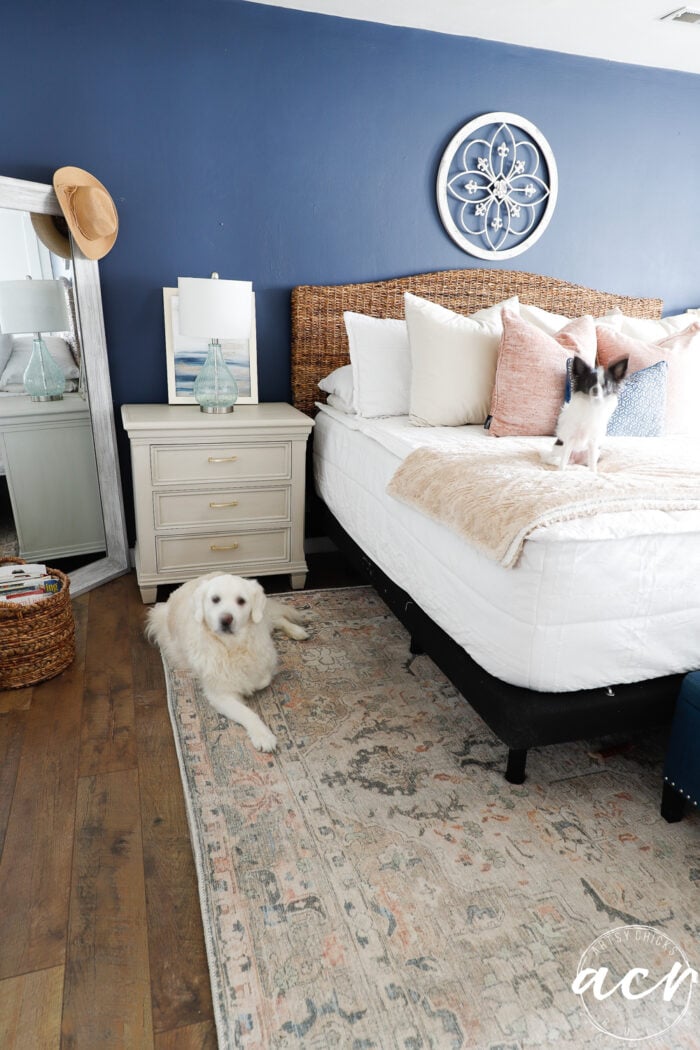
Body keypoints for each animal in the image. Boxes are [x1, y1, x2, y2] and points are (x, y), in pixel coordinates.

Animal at [146, 575, 308, 755]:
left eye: (241, 601)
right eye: (215, 599)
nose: (226, 619)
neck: (232, 647)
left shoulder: (267, 656)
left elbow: (264, 678)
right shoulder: (220, 695)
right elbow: (248, 712)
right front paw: (263, 736)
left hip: (263, 617)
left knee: (276, 619)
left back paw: (298, 631)